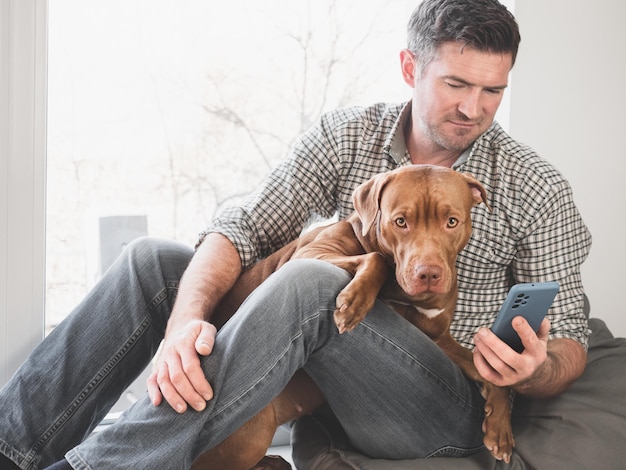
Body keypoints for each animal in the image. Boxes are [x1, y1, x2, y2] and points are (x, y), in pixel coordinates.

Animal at [194, 164, 512, 466]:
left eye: (452, 222)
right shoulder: (309, 254)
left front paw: (500, 429)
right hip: (251, 434)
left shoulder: (439, 341)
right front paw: (355, 302)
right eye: (400, 221)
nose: (429, 274)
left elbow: (487, 369)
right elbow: (376, 259)